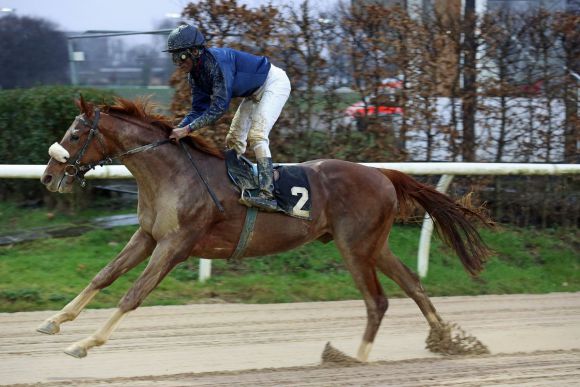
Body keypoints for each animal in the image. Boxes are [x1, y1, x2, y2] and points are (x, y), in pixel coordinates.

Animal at [37, 96, 490, 360]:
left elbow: (133, 294)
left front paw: (85, 343)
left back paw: (354, 357)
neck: (171, 174)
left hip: (354, 246)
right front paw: (54, 322)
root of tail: (382, 174)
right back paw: (449, 341)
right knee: (412, 283)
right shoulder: (148, 236)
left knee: (377, 300)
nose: (47, 176)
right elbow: (103, 276)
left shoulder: (176, 244)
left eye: (75, 133)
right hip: (374, 245)